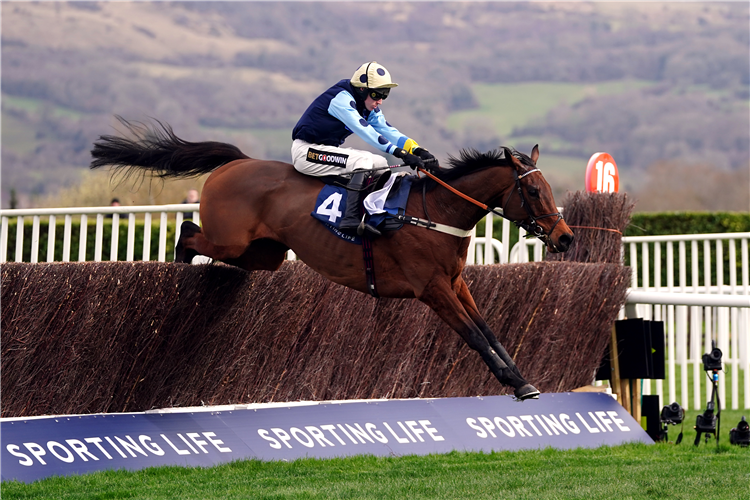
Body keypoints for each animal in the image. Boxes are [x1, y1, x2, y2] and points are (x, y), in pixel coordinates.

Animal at [92, 120, 576, 402]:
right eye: (534, 191)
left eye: (549, 189)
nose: (565, 238)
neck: (435, 211)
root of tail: (238, 162)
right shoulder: (432, 289)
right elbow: (473, 336)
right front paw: (514, 383)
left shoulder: (456, 283)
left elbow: (489, 330)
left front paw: (520, 378)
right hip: (230, 240)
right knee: (189, 233)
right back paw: (177, 270)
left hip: (262, 254)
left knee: (206, 241)